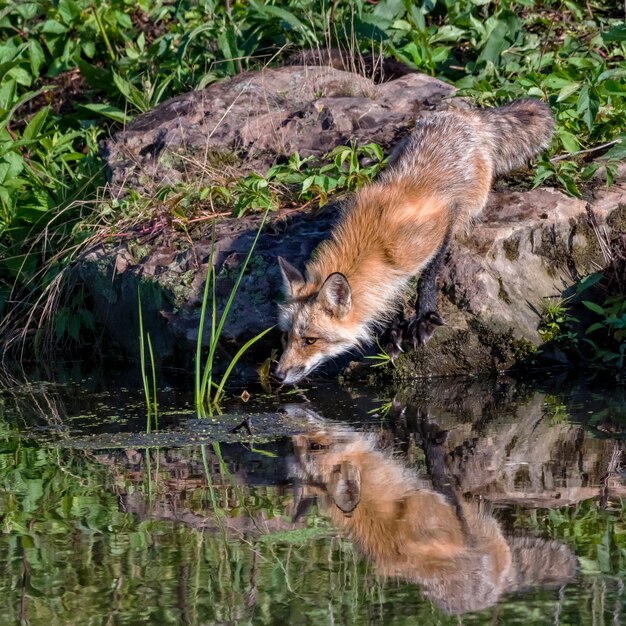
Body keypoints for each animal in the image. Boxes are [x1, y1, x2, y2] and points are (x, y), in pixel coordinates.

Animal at [272, 98, 552, 380]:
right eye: (286, 336)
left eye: (310, 340)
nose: (278, 375)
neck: (374, 242)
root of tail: (464, 115)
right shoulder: (390, 272)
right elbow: (393, 294)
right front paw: (392, 331)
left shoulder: (440, 225)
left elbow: (428, 275)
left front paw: (424, 316)